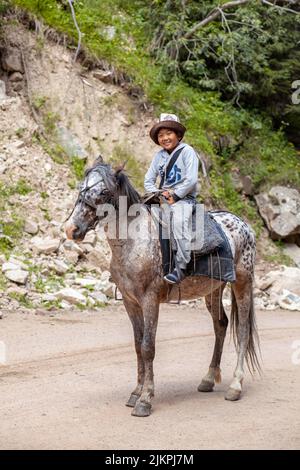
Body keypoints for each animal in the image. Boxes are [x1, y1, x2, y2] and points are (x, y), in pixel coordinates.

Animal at [65, 159, 260, 418]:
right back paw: (208, 379)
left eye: (104, 192)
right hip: (214, 289)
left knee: (243, 329)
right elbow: (138, 346)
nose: (71, 229)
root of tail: (244, 224)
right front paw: (136, 393)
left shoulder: (150, 300)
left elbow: (148, 347)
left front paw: (145, 400)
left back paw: (235, 386)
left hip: (243, 282)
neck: (134, 242)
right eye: (81, 187)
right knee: (221, 325)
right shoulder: (130, 302)